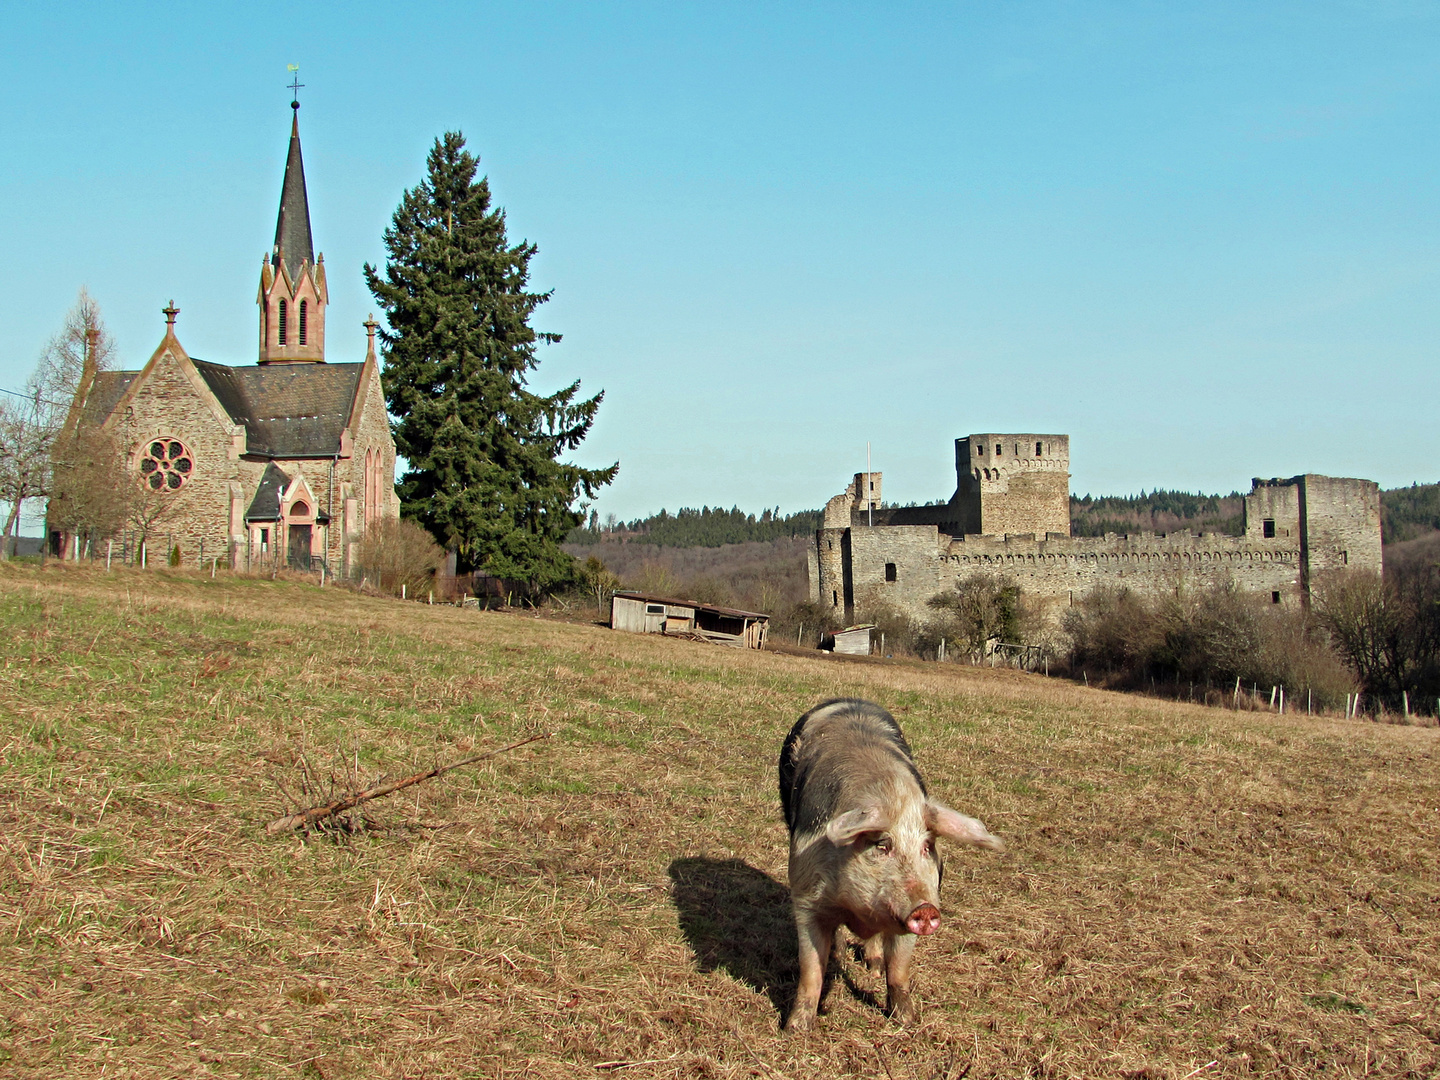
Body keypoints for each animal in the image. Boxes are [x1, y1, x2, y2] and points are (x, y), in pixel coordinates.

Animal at [777, 702, 1002, 1031]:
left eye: (926, 847)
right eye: (882, 844)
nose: (926, 910)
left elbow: (899, 970)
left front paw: (907, 1021)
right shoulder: (805, 895)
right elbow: (811, 970)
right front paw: (795, 1029)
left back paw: (873, 966)